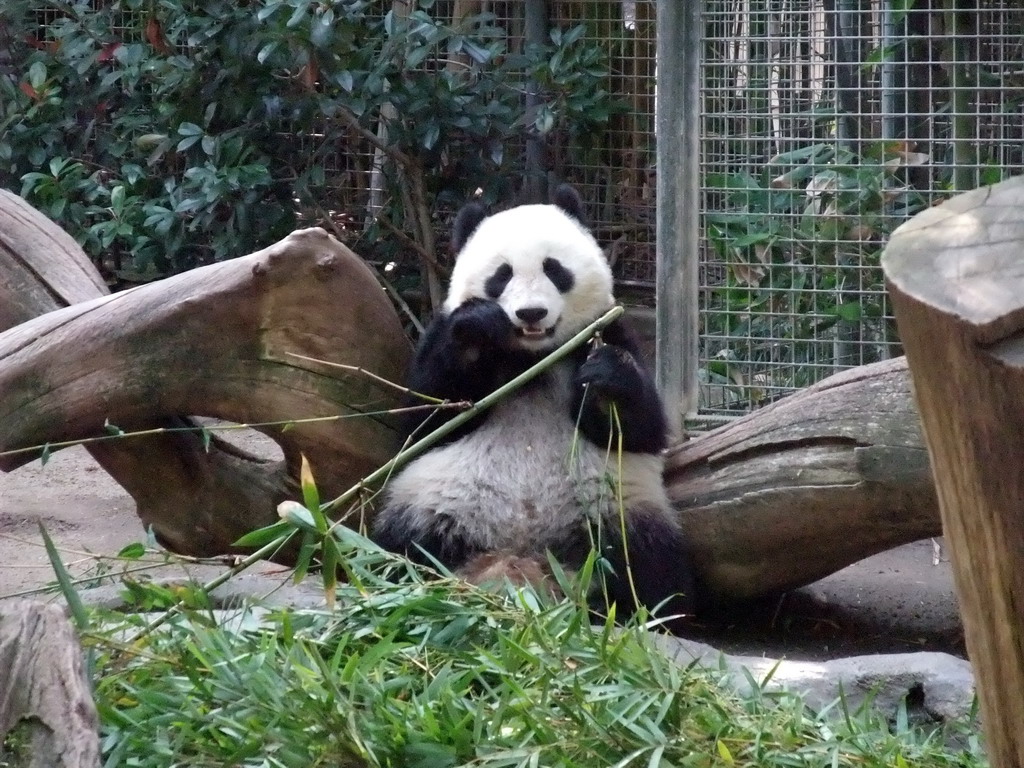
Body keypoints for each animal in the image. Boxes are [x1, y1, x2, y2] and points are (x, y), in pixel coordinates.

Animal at [372, 186, 700, 626]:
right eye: (501, 275)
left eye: (555, 269)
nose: (531, 313)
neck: (532, 357)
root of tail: (523, 560)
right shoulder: (439, 340)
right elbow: (427, 418)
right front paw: (476, 328)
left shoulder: (603, 331)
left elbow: (640, 429)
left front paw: (608, 376)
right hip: (431, 506)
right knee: (397, 549)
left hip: (615, 512)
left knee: (650, 567)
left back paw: (641, 612)